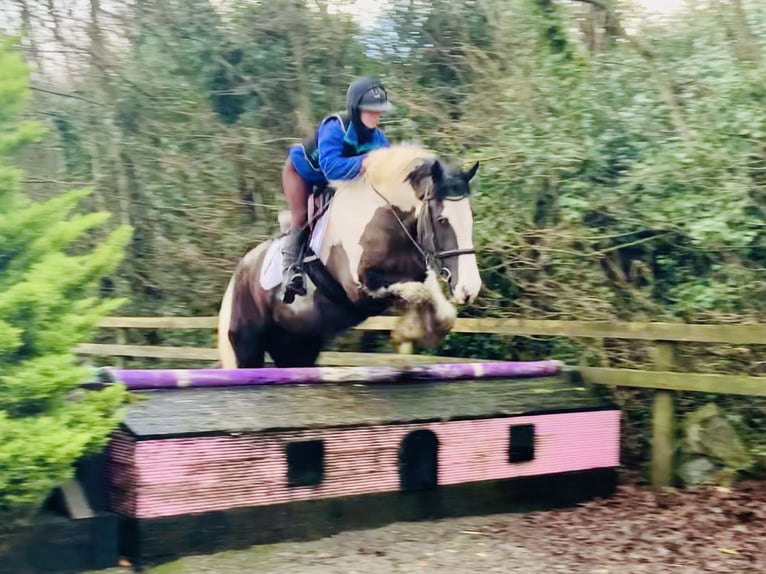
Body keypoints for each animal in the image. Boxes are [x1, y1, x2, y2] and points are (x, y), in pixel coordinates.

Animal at [216, 144, 480, 368]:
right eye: (442, 219)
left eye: (470, 217)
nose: (470, 289)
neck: (388, 219)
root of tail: (236, 278)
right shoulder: (360, 289)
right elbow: (416, 292)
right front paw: (405, 332)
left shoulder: (419, 274)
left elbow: (442, 310)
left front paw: (413, 331)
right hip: (247, 345)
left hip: (297, 345)